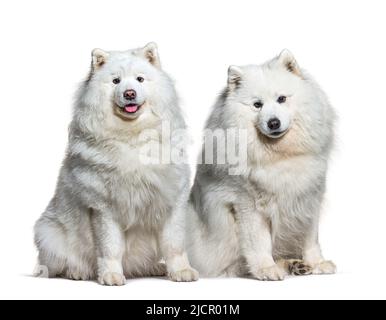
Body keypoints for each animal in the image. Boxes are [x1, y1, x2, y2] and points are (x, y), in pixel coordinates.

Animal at [188, 50, 336, 280]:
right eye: (257, 105)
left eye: (281, 99)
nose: (273, 123)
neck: (278, 157)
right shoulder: (248, 205)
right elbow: (259, 242)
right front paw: (266, 269)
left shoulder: (308, 197)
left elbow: (310, 238)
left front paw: (317, 263)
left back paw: (296, 264)